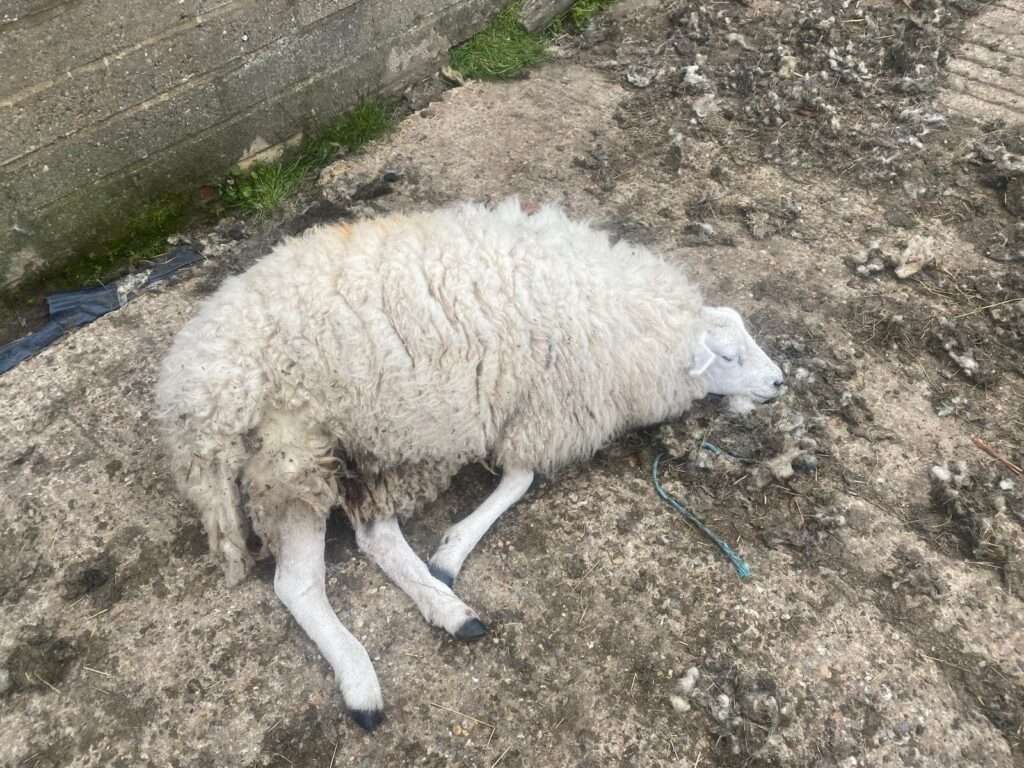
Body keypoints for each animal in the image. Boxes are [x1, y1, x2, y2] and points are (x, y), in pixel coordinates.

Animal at [155, 196, 784, 731]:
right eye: (729, 356)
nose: (779, 382)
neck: (623, 319)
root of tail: (194, 391)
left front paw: (448, 558)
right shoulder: (540, 407)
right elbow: (521, 478)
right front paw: (455, 546)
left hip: (372, 445)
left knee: (375, 537)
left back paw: (447, 608)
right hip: (293, 457)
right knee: (299, 583)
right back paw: (362, 682)